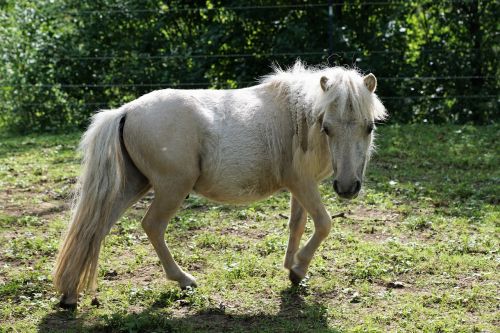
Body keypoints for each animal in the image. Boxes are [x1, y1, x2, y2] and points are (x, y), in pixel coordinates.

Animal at [53, 61, 386, 308]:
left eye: (369, 127)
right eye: (327, 127)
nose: (347, 188)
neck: (297, 117)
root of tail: (125, 111)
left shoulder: (300, 188)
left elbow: (298, 225)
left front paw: (292, 269)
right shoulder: (303, 184)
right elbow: (324, 223)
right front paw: (299, 267)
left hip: (134, 185)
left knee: (95, 228)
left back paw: (70, 294)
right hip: (171, 189)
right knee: (152, 226)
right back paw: (184, 279)